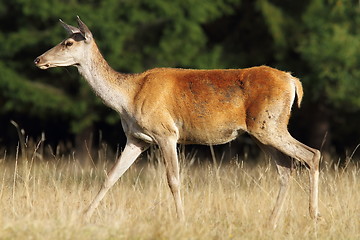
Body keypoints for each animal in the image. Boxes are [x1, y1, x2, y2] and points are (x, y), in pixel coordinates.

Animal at [33, 17, 320, 229]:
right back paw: (272, 221)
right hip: (262, 131)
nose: (38, 59)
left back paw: (313, 215)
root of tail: (293, 81)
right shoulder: (137, 138)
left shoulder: (166, 133)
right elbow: (111, 176)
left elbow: (174, 179)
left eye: (68, 42)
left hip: (269, 124)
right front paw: (83, 215)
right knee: (286, 168)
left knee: (311, 154)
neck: (128, 98)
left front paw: (181, 220)